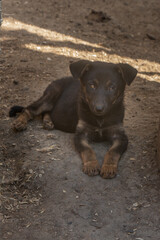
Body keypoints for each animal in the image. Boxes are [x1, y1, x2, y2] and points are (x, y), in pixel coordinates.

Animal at [9, 60, 138, 178]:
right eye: (92, 85)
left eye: (112, 87)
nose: (99, 109)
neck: (100, 119)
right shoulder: (80, 134)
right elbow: (88, 149)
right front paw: (91, 165)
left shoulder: (120, 135)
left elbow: (113, 151)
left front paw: (108, 167)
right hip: (51, 95)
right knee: (29, 109)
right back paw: (20, 122)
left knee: (46, 112)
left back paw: (48, 122)